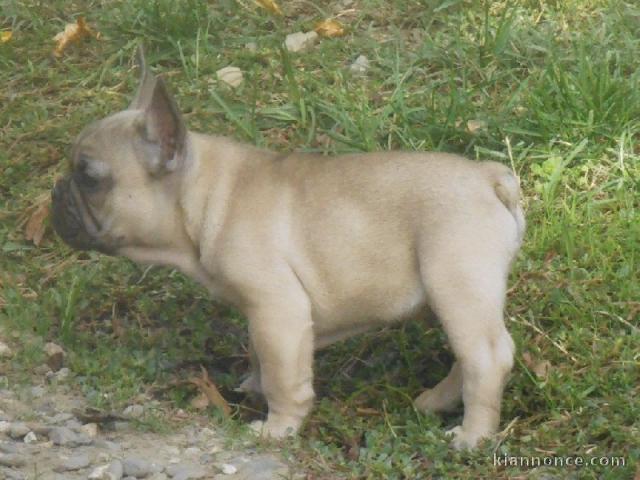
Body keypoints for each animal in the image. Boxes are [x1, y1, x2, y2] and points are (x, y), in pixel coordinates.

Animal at [52, 50, 524, 448]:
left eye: (89, 177)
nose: (57, 192)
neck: (204, 193)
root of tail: (489, 176)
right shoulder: (263, 314)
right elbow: (261, 354)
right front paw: (252, 385)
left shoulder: (277, 308)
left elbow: (282, 373)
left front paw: (277, 426)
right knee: (467, 354)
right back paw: (437, 401)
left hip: (456, 282)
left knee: (486, 356)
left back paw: (472, 435)